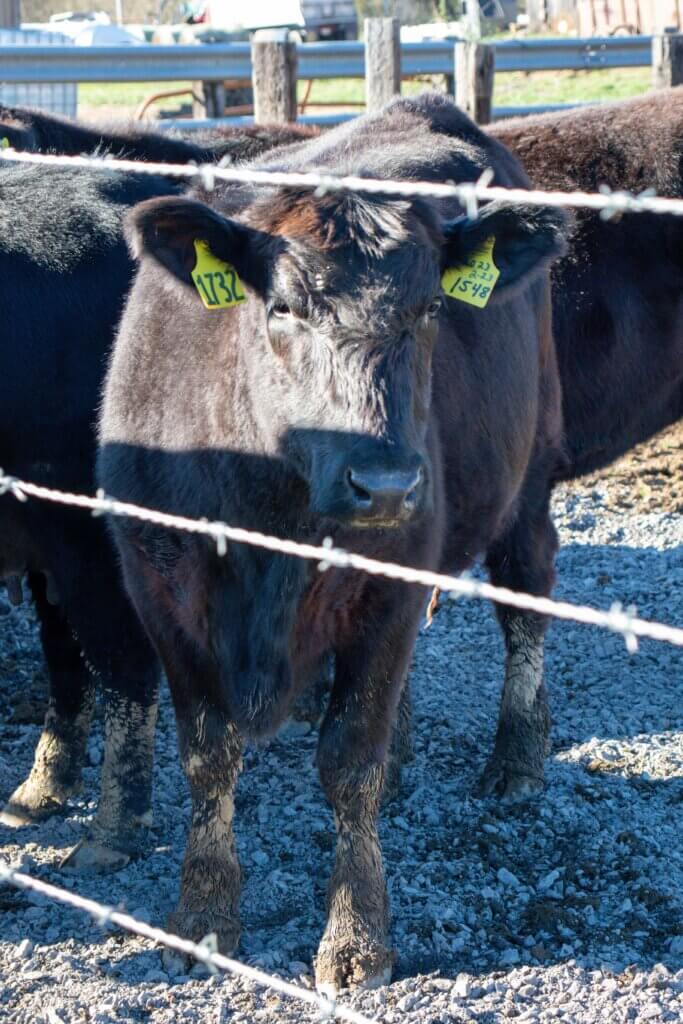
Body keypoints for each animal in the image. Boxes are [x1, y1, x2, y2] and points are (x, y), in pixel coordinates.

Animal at [98, 92, 567, 991]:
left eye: (429, 310)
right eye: (282, 307)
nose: (383, 484)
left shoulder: (390, 582)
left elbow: (349, 764)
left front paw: (355, 937)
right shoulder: (156, 587)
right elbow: (206, 756)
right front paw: (203, 913)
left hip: (528, 473)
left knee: (525, 598)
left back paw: (516, 758)